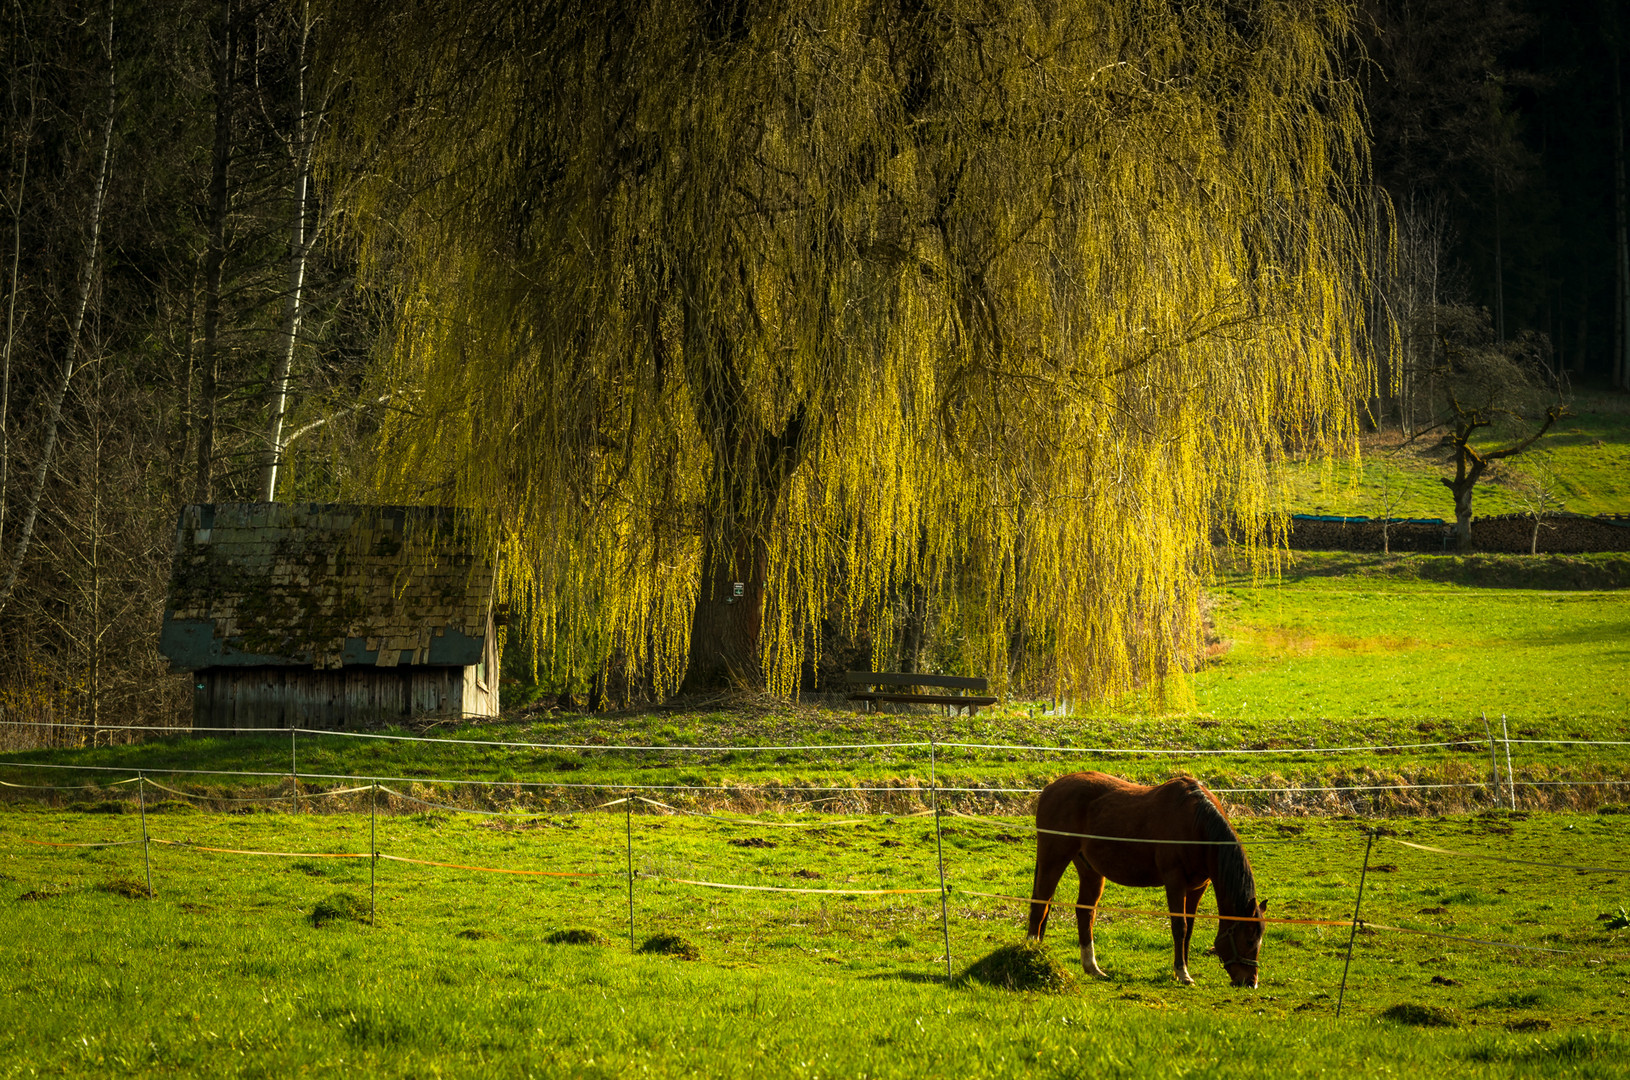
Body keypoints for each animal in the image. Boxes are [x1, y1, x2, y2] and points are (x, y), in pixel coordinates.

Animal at [1023, 772, 1264, 990]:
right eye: (1249, 941)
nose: (1250, 982)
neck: (1197, 824)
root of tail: (1050, 788)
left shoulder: (1198, 887)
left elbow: (1189, 929)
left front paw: (1183, 969)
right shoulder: (1175, 881)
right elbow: (1180, 926)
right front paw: (1182, 973)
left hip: (1089, 870)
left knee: (1085, 911)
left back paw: (1093, 968)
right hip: (1053, 859)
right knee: (1040, 905)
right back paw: (1032, 954)